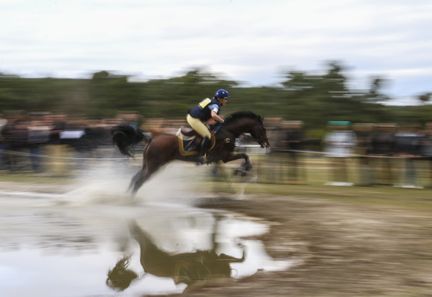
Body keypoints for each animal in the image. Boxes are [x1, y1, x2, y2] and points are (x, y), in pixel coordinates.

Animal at [114, 111, 270, 194]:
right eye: (263, 129)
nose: (267, 144)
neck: (229, 131)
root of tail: (151, 138)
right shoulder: (223, 157)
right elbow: (245, 156)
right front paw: (242, 171)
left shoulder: (219, 159)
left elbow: (240, 160)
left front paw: (238, 177)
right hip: (154, 166)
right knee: (139, 181)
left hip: (149, 164)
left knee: (135, 178)